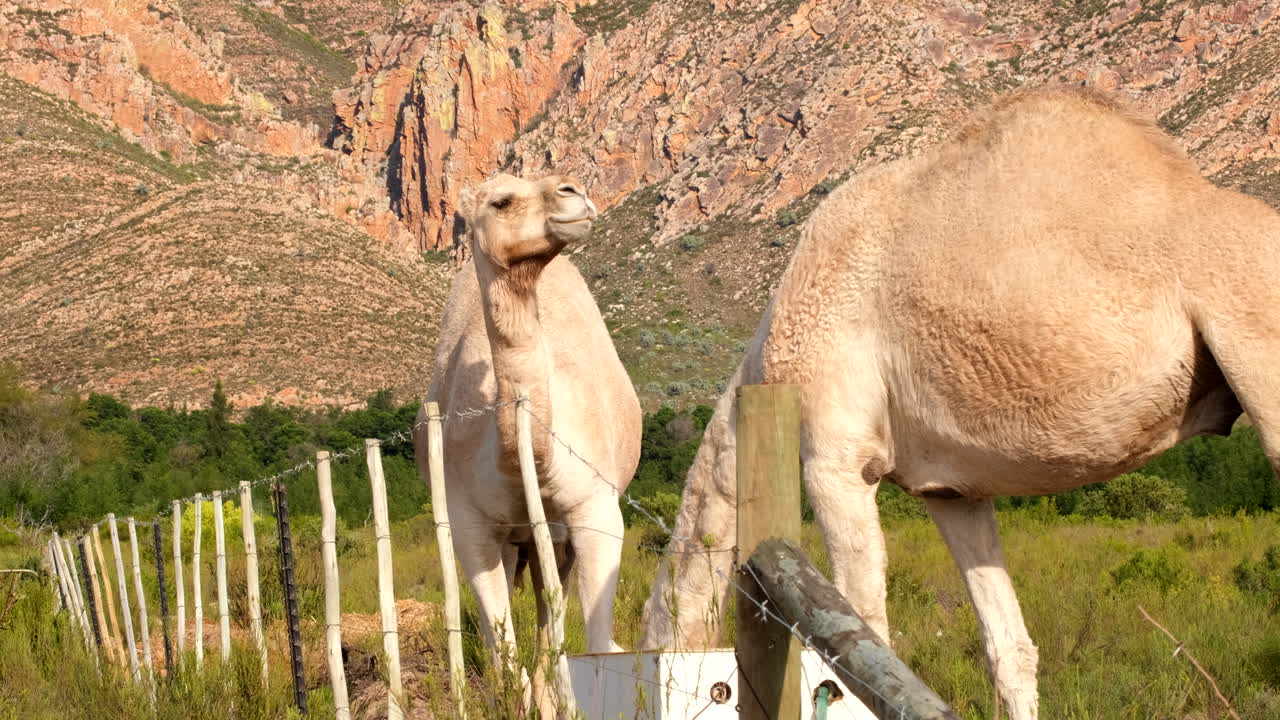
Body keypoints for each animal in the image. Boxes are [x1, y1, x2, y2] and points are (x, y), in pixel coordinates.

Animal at [413, 173, 641, 700]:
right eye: (502, 201)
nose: (574, 194)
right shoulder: (470, 524)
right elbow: (505, 653)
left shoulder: (595, 509)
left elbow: (594, 642)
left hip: (554, 535)